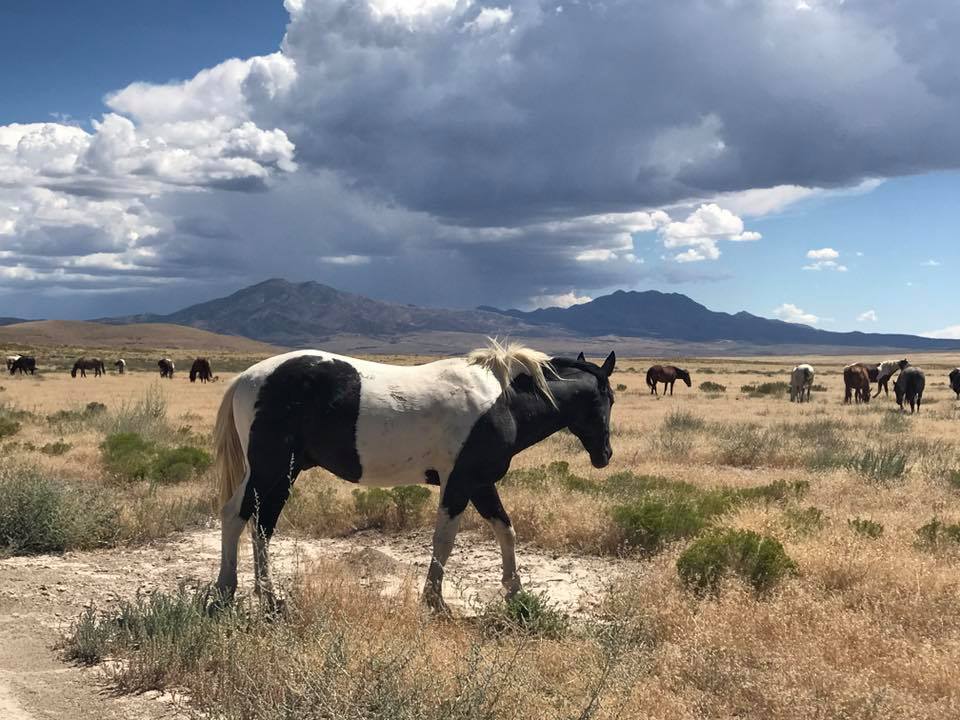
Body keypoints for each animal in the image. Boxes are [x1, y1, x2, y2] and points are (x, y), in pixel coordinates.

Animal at [212, 341, 616, 613]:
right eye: (607, 399)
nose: (605, 456)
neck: (503, 403)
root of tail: (248, 377)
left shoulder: (481, 483)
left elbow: (506, 530)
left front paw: (515, 593)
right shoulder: (460, 482)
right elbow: (444, 541)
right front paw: (435, 601)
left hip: (284, 473)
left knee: (262, 525)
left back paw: (267, 597)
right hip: (271, 468)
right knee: (237, 517)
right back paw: (229, 591)